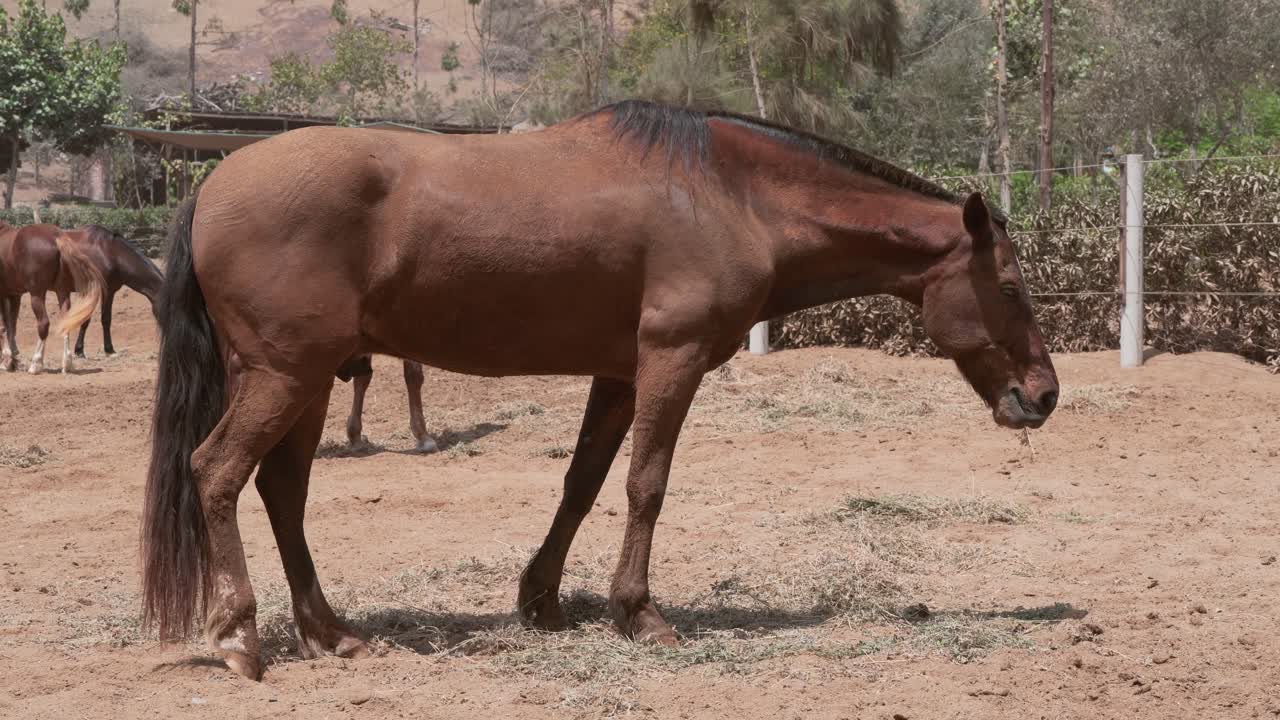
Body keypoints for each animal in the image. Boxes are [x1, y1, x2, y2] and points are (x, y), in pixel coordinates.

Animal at [0, 222, 105, 373]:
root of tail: (56, 237)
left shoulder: (4, 294)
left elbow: (3, 326)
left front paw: (7, 361)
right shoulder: (14, 294)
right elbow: (11, 326)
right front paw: (13, 359)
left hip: (37, 294)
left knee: (43, 324)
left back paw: (36, 363)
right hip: (62, 292)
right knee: (66, 321)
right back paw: (67, 363)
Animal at [54, 225, 164, 357]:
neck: (110, 253)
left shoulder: (110, 291)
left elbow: (106, 319)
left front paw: (108, 349)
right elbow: (87, 319)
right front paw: (80, 350)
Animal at [141, 100, 1059, 681]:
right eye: (1012, 286)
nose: (1044, 395)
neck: (732, 194)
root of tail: (210, 186)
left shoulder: (619, 375)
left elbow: (582, 484)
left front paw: (542, 601)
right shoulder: (670, 363)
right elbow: (646, 486)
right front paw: (640, 613)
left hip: (304, 382)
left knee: (282, 493)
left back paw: (331, 634)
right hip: (286, 376)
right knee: (218, 473)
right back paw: (240, 638)